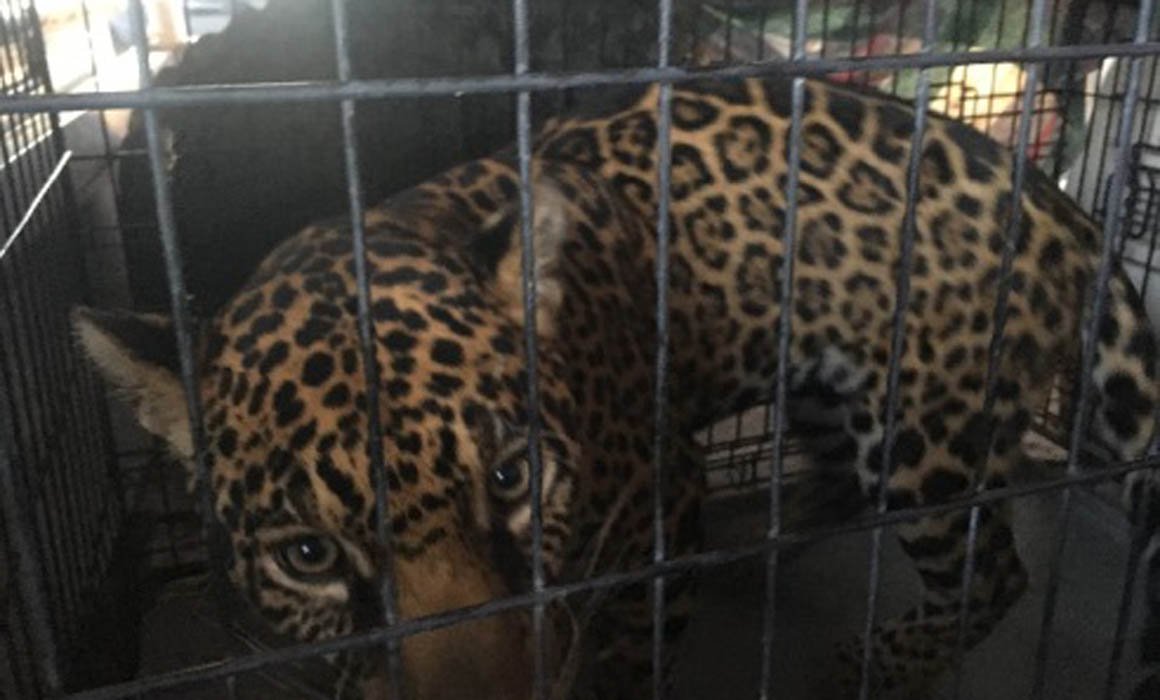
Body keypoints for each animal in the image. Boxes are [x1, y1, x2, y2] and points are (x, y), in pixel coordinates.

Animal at [74, 71, 1159, 699]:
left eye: (512, 480)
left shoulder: (655, 503)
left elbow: (630, 659)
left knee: (992, 573)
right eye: (306, 555)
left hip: (923, 428)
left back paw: (876, 664)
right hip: (829, 385)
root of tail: (1059, 203)